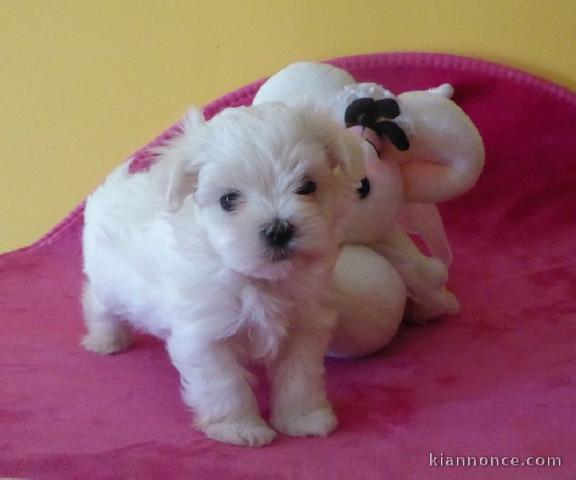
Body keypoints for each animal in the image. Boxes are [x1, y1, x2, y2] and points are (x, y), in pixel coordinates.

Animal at [80, 101, 364, 446]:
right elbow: (225, 384)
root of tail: (114, 186)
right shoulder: (205, 335)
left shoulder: (304, 325)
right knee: (98, 303)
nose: (278, 230)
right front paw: (239, 427)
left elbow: (300, 376)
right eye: (228, 200)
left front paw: (303, 419)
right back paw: (106, 340)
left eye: (307, 186)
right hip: (109, 279)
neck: (256, 278)